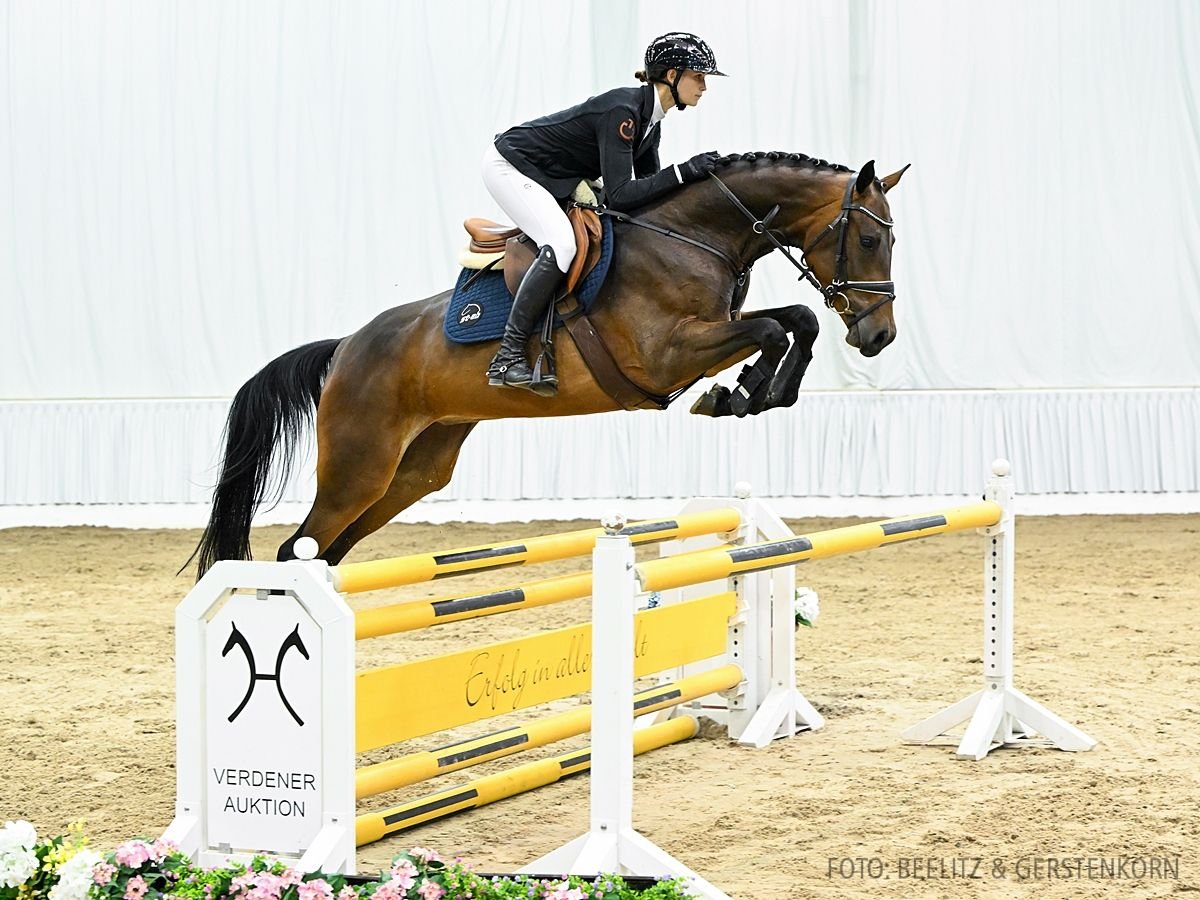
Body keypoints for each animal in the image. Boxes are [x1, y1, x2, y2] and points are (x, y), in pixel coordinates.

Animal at [189, 146, 907, 571]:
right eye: (871, 240)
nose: (880, 337)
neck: (693, 234)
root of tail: (343, 349)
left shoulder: (706, 336)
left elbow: (793, 322)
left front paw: (749, 393)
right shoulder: (667, 354)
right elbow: (779, 327)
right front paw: (742, 392)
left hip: (414, 470)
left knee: (326, 553)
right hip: (358, 468)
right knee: (298, 549)